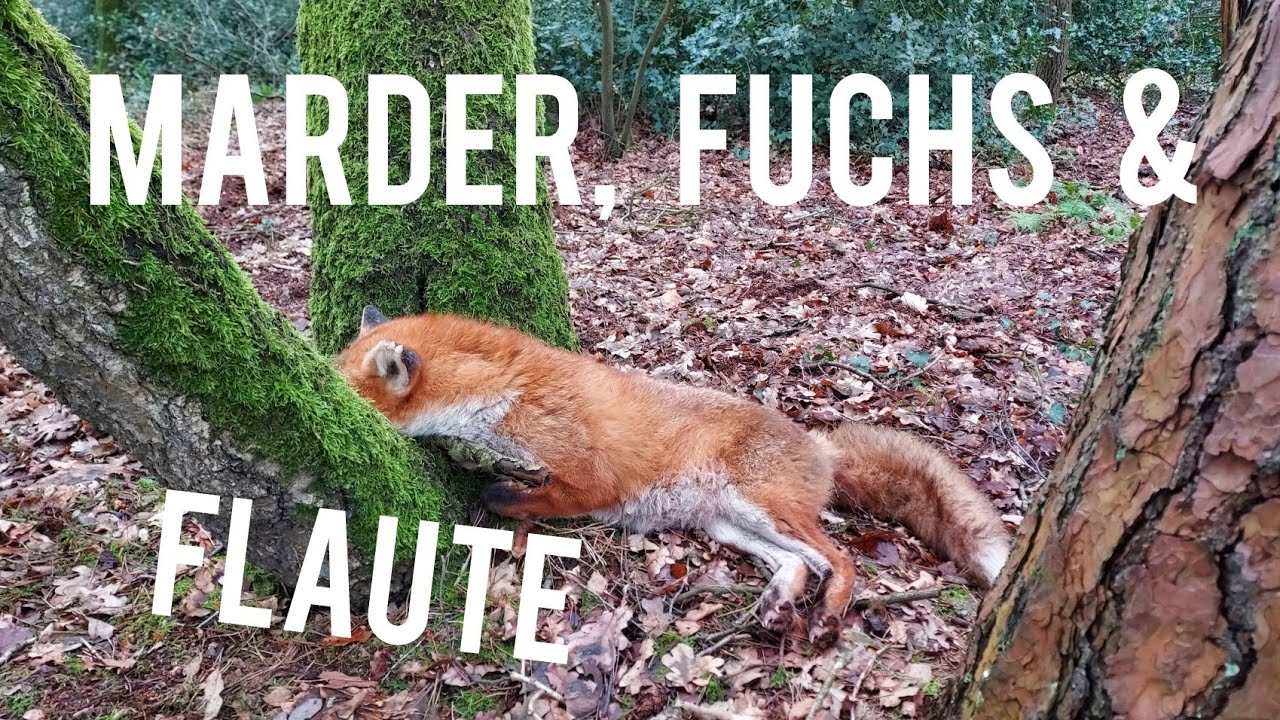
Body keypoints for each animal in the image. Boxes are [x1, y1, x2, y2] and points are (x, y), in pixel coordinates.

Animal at [337, 306, 1011, 646]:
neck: (506, 394)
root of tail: (818, 442)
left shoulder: (590, 480)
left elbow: (512, 499)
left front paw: (500, 499)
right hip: (728, 523)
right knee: (801, 565)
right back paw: (779, 607)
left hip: (761, 505)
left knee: (843, 560)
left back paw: (825, 617)